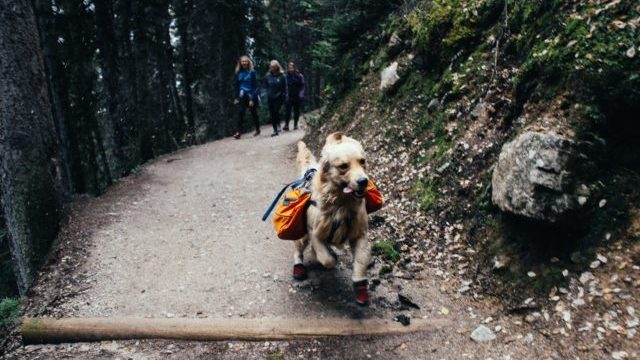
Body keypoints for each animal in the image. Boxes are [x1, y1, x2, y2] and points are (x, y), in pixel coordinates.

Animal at [294, 132, 372, 306]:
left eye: (362, 161)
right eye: (343, 166)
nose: (363, 181)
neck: (342, 204)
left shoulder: (360, 234)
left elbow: (360, 263)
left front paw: (360, 287)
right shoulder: (315, 233)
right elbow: (327, 259)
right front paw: (329, 258)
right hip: (302, 237)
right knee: (298, 250)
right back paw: (298, 266)